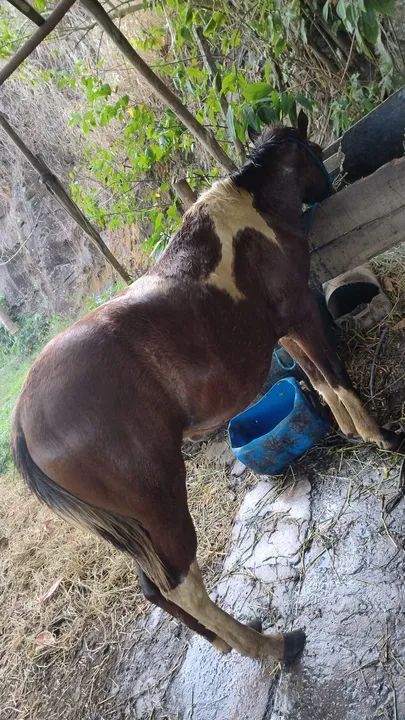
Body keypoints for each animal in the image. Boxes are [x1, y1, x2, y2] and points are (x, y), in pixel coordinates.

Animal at [12, 113, 404, 662]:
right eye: (310, 152)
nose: (332, 182)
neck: (248, 215)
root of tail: (25, 422)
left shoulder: (285, 328)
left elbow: (320, 381)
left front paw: (348, 431)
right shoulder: (303, 313)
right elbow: (338, 377)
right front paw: (382, 437)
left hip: (133, 528)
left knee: (152, 589)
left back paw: (230, 642)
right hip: (161, 504)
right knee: (180, 584)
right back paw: (272, 646)